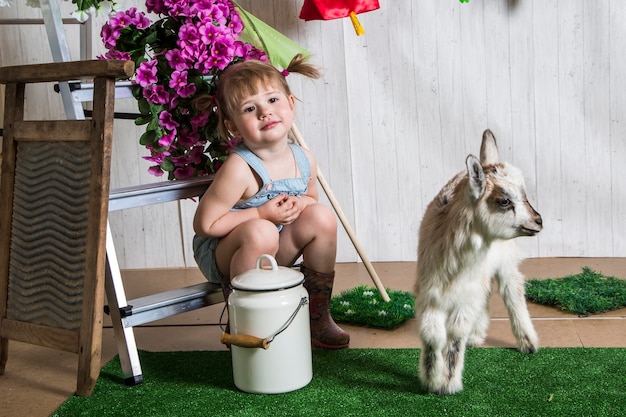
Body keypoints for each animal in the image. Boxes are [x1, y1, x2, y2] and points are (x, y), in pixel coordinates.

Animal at [412, 129, 540, 394]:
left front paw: (447, 383)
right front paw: (430, 379)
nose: (538, 221)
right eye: (504, 201)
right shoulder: (429, 292)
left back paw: (527, 342)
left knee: (512, 291)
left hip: (506, 260)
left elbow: (455, 334)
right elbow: (432, 335)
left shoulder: (465, 295)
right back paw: (476, 335)